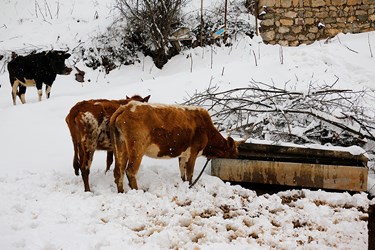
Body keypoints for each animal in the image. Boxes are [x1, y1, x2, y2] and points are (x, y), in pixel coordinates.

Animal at [110, 101, 242, 193]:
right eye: (235, 149)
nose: (237, 156)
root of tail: (127, 106)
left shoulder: (183, 154)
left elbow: (182, 171)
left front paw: (184, 184)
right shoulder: (194, 151)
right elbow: (190, 172)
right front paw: (190, 186)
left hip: (121, 147)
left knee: (118, 171)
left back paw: (121, 192)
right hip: (137, 148)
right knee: (130, 171)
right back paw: (137, 191)